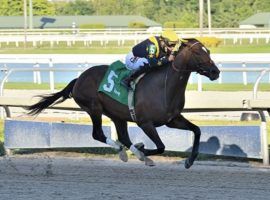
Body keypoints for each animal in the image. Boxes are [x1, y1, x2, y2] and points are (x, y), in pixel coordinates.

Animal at [25, 38, 219, 169]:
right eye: (198, 53)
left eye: (208, 51)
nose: (215, 72)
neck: (163, 86)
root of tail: (78, 79)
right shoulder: (145, 123)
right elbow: (161, 147)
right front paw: (142, 151)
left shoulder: (172, 119)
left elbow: (197, 130)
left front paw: (189, 160)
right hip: (94, 108)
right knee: (98, 134)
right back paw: (126, 150)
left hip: (117, 115)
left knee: (123, 137)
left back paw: (128, 152)